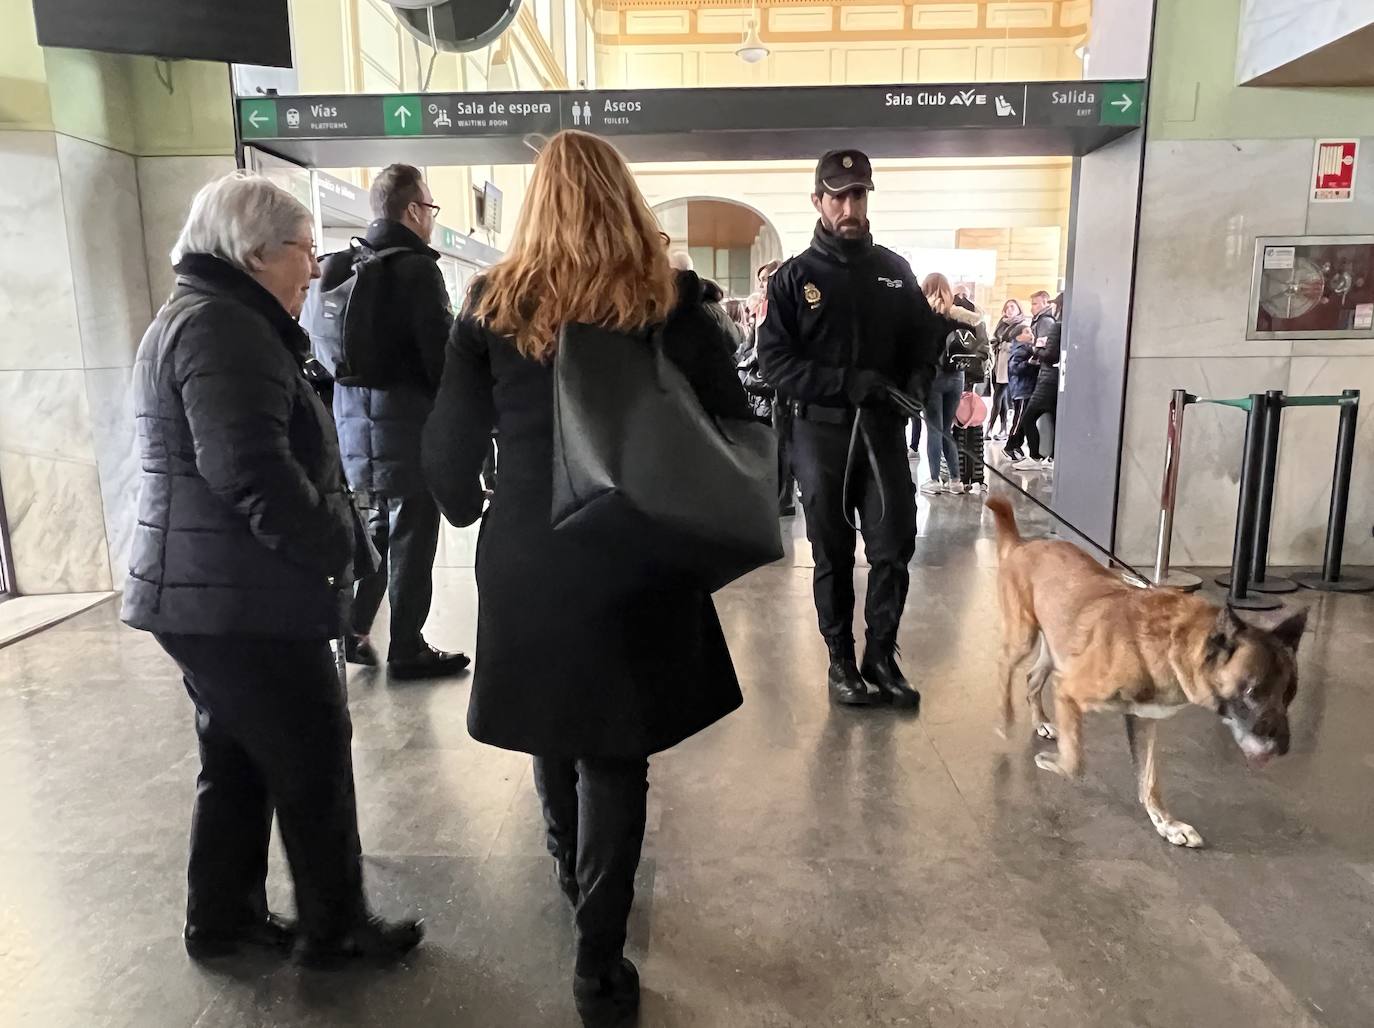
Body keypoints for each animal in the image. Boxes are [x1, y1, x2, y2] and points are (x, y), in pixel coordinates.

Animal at [983, 494, 1302, 846]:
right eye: (1252, 691)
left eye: (1290, 695)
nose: (1284, 747)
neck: (1174, 643)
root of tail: (1022, 546)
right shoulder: (1068, 691)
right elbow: (1076, 762)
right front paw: (1054, 763)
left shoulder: (1145, 719)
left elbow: (1149, 780)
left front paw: (1166, 823)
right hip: (1023, 638)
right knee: (1004, 666)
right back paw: (1004, 717)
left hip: (1057, 648)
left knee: (1032, 677)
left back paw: (1039, 720)